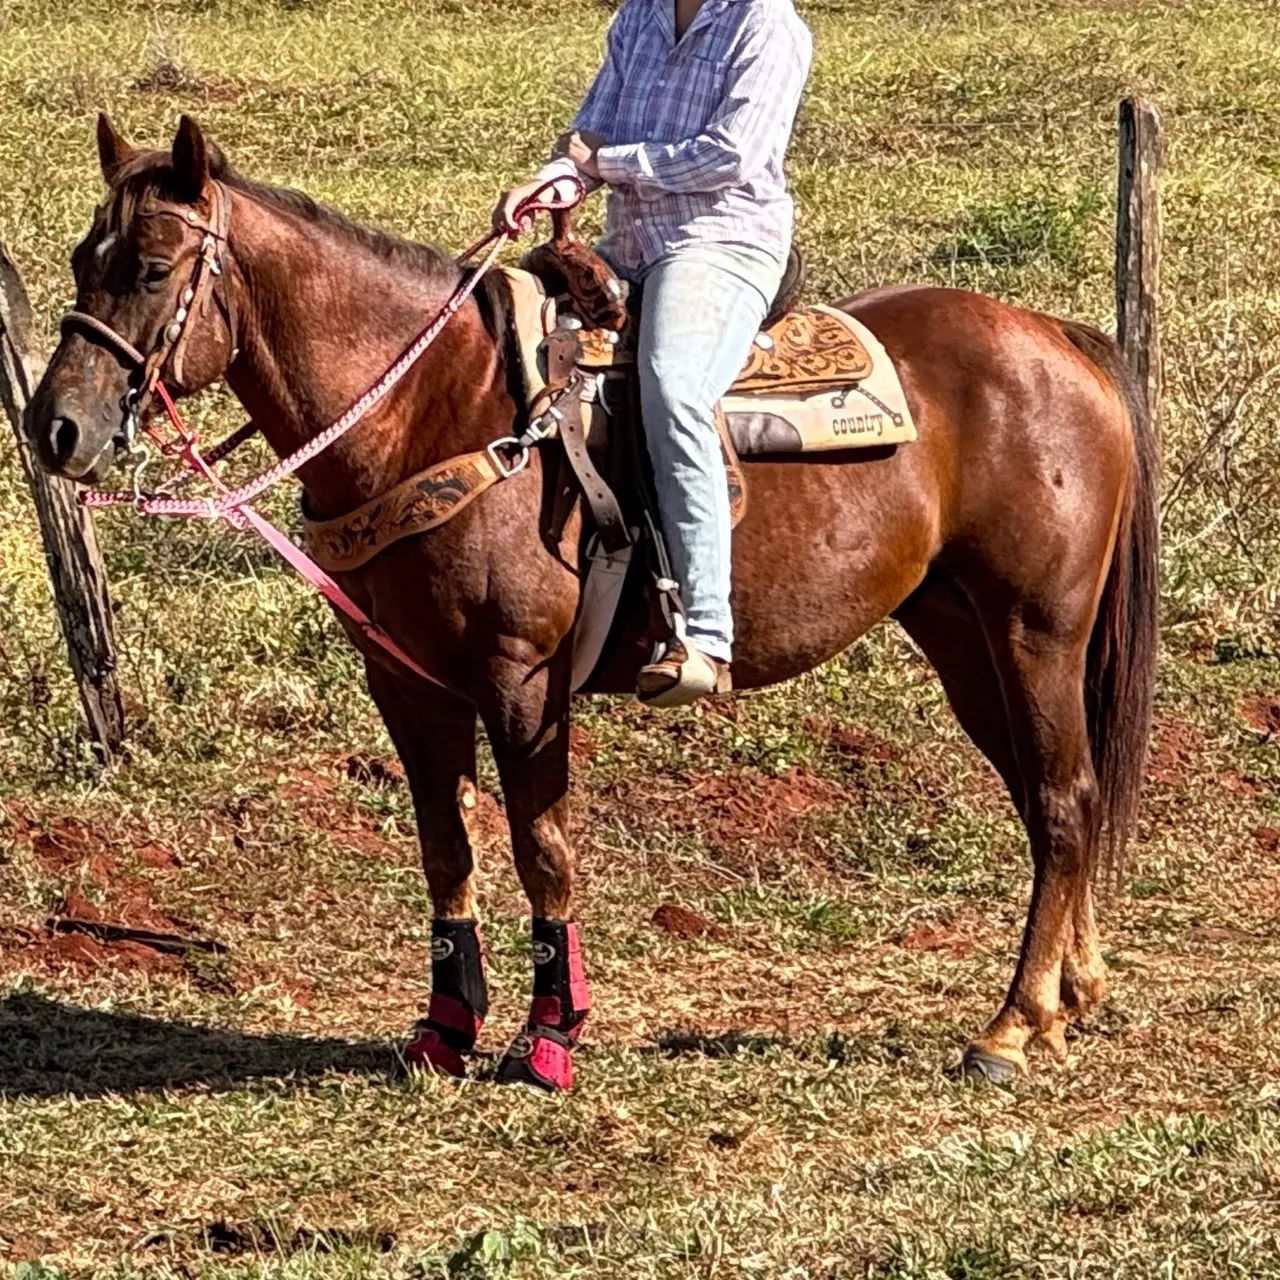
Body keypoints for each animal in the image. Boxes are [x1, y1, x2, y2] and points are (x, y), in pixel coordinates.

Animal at [26, 115, 1158, 1091]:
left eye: (152, 267)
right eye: (84, 259)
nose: (55, 430)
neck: (435, 409)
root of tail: (1057, 338)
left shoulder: (521, 678)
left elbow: (542, 848)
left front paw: (547, 1036)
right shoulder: (405, 680)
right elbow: (446, 844)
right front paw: (444, 1028)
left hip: (1035, 630)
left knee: (1064, 798)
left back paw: (1010, 1024)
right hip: (959, 632)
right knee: (1050, 797)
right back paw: (1069, 998)